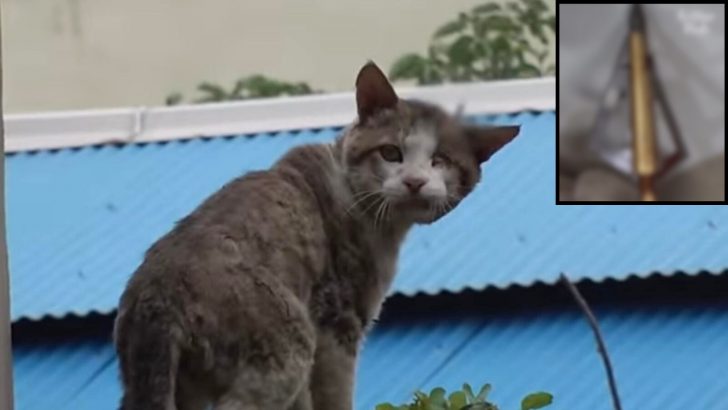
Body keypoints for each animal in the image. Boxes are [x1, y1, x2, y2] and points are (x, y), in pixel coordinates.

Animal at [114, 61, 520, 410]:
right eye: (391, 152)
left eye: (440, 161)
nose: (415, 181)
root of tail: (157, 297)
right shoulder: (336, 322)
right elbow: (334, 398)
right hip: (287, 344)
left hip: (167, 385)